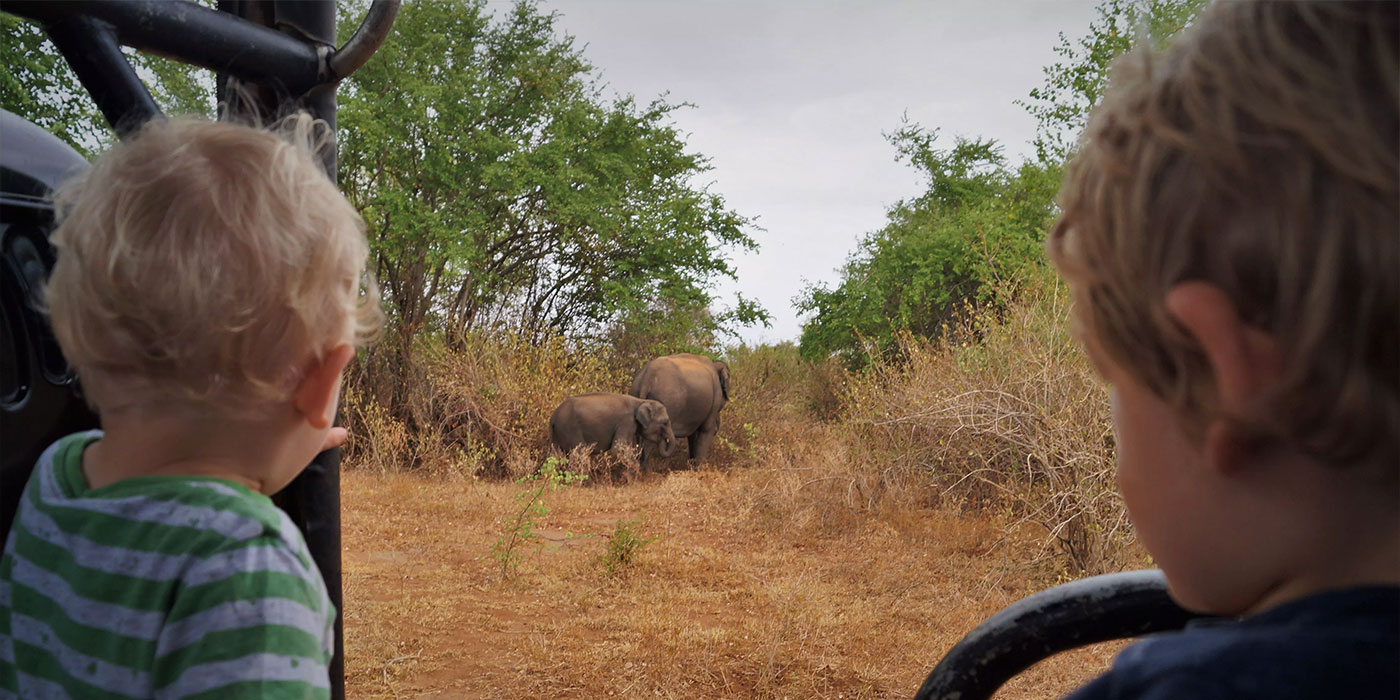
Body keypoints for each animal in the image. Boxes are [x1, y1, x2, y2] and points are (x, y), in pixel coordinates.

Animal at [546, 392, 677, 462]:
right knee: (580, 453)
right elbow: (618, 448)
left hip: (556, 434)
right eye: (665, 422)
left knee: (555, 455)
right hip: (570, 429)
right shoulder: (626, 422)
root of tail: (553, 417)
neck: (640, 401)